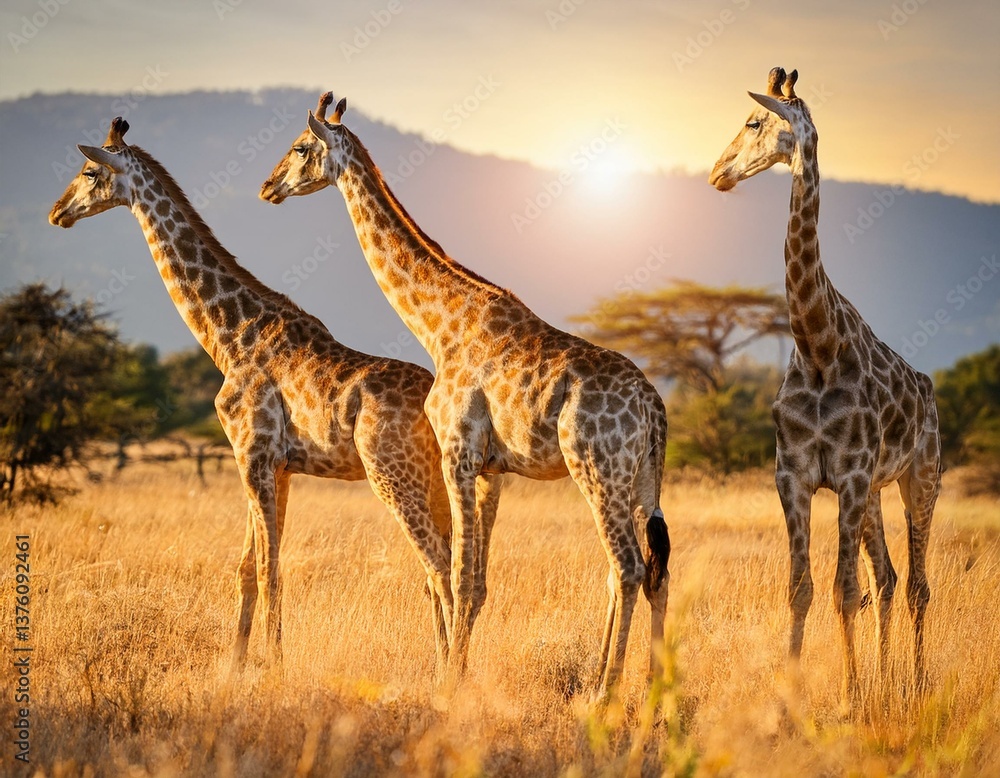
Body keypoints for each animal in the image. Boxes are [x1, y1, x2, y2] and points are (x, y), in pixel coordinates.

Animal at [49, 117, 457, 676]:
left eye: (90, 171)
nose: (56, 211)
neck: (230, 339)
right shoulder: (272, 465)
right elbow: (246, 567)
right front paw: (235, 667)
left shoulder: (253, 454)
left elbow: (269, 569)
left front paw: (275, 669)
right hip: (432, 479)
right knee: (446, 563)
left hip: (393, 474)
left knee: (438, 565)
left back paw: (452, 672)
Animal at [259, 93, 670, 698]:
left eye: (300, 147)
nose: (268, 187)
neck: (439, 325)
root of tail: (653, 408)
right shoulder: (491, 468)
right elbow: (475, 581)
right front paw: (459, 672)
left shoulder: (457, 454)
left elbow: (456, 575)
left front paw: (450, 682)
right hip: (643, 481)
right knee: (655, 566)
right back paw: (654, 688)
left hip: (597, 468)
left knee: (627, 566)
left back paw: (604, 691)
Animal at [709, 68, 941, 702]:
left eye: (753, 122)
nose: (717, 172)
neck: (817, 345)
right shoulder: (793, 476)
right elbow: (803, 589)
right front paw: (792, 698)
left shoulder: (851, 475)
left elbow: (842, 591)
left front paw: (850, 694)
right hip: (876, 494)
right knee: (887, 577)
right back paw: (887, 675)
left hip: (919, 479)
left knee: (916, 584)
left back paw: (913, 681)